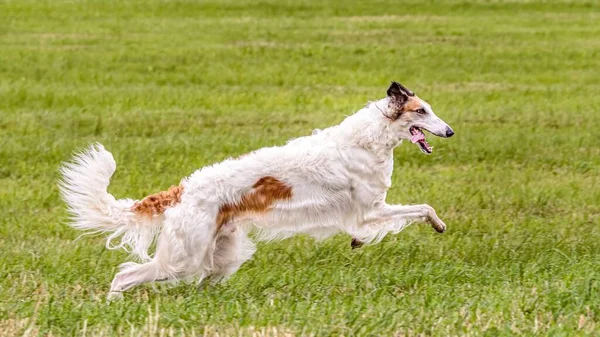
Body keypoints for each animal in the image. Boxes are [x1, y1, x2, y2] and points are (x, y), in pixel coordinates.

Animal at [59, 82, 454, 300]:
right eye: (422, 111)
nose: (449, 131)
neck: (368, 139)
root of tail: (183, 189)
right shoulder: (371, 208)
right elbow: (423, 208)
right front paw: (439, 225)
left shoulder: (370, 211)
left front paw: (358, 242)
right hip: (184, 257)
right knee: (126, 274)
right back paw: (111, 302)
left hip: (221, 253)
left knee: (200, 283)